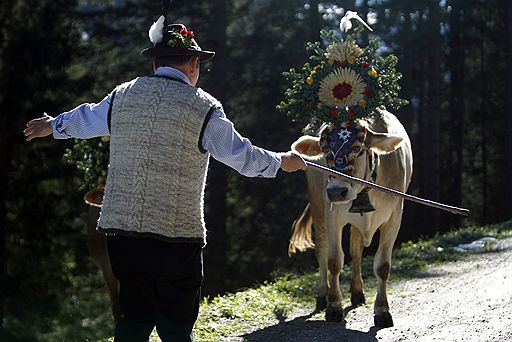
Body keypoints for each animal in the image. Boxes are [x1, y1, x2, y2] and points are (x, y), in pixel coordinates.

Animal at [288, 108, 412, 328]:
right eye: (325, 152)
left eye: (360, 151)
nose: (337, 191)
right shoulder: (332, 215)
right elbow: (335, 261)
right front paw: (334, 307)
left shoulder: (394, 217)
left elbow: (382, 265)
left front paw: (382, 311)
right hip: (318, 206)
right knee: (322, 249)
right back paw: (323, 295)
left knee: (356, 249)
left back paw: (357, 292)